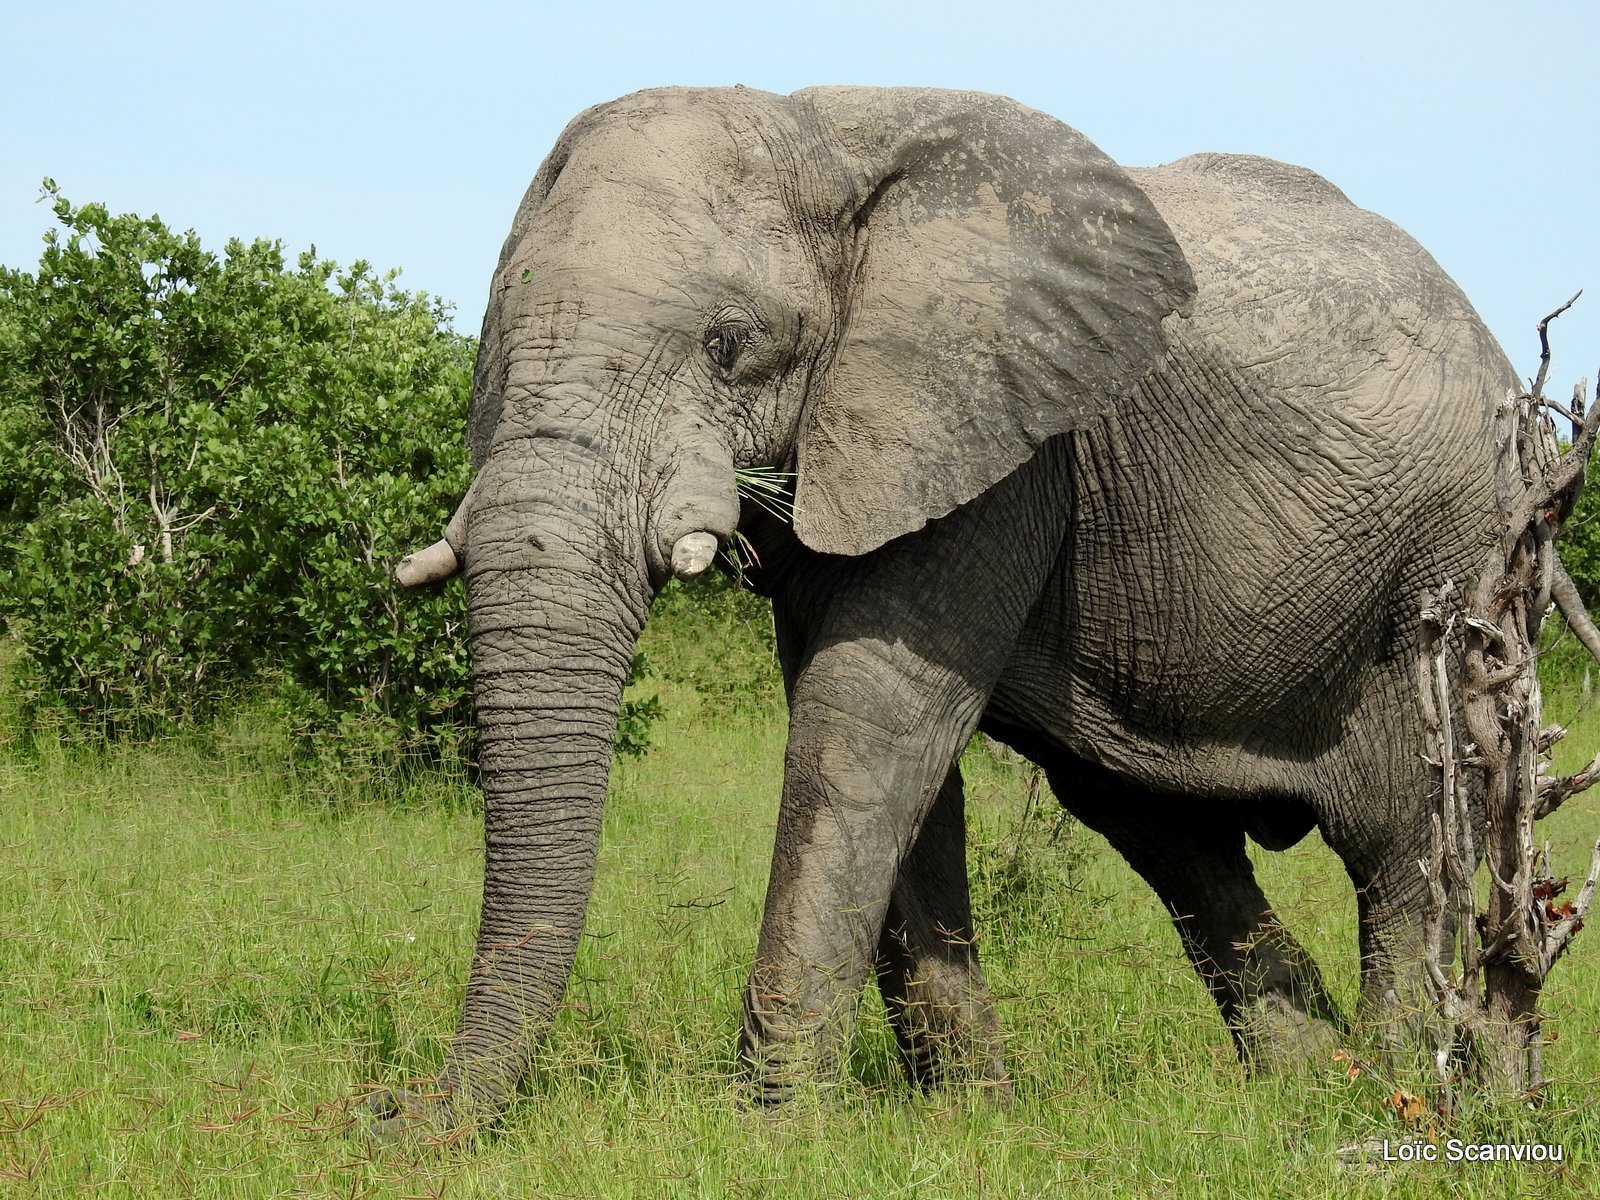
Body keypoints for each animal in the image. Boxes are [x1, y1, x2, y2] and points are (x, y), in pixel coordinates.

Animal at [368, 86, 1529, 1139]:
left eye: (729, 343)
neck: (819, 134)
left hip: (1452, 554)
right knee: (1163, 828)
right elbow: (878, 736)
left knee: (1401, 839)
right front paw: (970, 1123)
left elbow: (864, 719)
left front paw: (773, 1137)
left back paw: (1396, 1090)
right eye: (494, 342)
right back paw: (1307, 1080)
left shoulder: (1003, 443)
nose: (391, 1118)